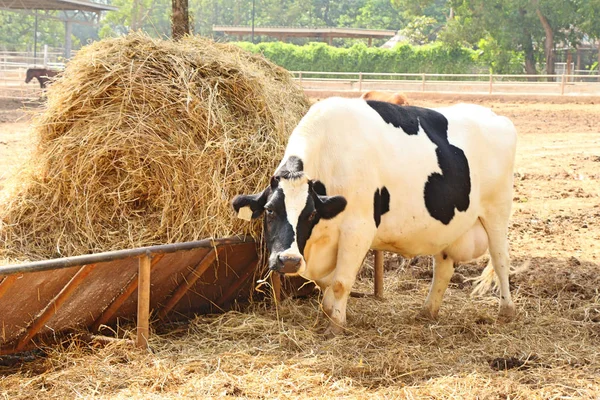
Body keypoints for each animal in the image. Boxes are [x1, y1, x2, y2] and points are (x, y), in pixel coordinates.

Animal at [232, 97, 516, 334]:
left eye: (311, 214)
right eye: (269, 210)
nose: (289, 261)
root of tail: (496, 117)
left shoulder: (358, 229)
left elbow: (340, 282)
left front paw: (335, 326)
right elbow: (326, 283)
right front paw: (329, 311)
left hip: (497, 212)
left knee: (501, 259)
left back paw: (506, 311)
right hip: (447, 227)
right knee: (443, 268)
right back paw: (428, 311)